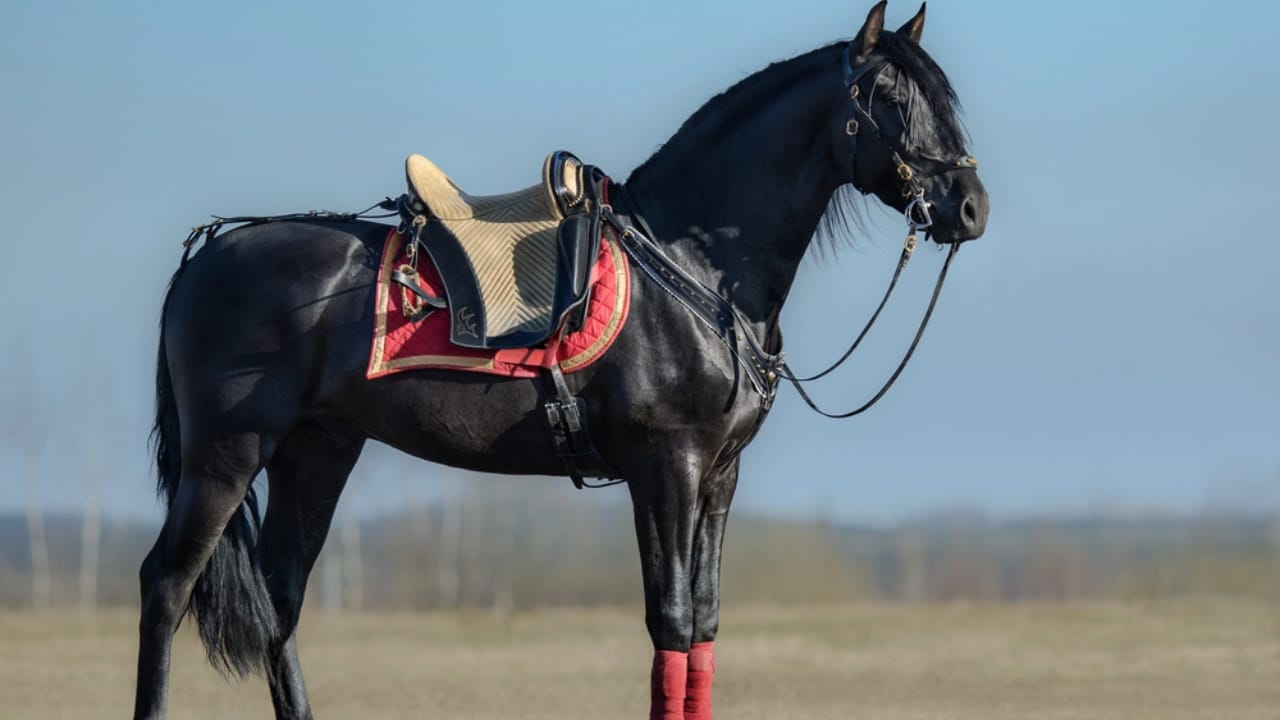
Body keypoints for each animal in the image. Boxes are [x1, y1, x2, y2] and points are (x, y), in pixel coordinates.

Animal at [134, 3, 988, 718]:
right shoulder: (664, 465)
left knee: (281, 598)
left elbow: (705, 623)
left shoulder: (719, 473)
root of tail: (209, 253)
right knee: (166, 585)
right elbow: (670, 621)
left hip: (316, 451)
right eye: (888, 97)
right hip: (227, 454)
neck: (690, 269)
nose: (970, 208)